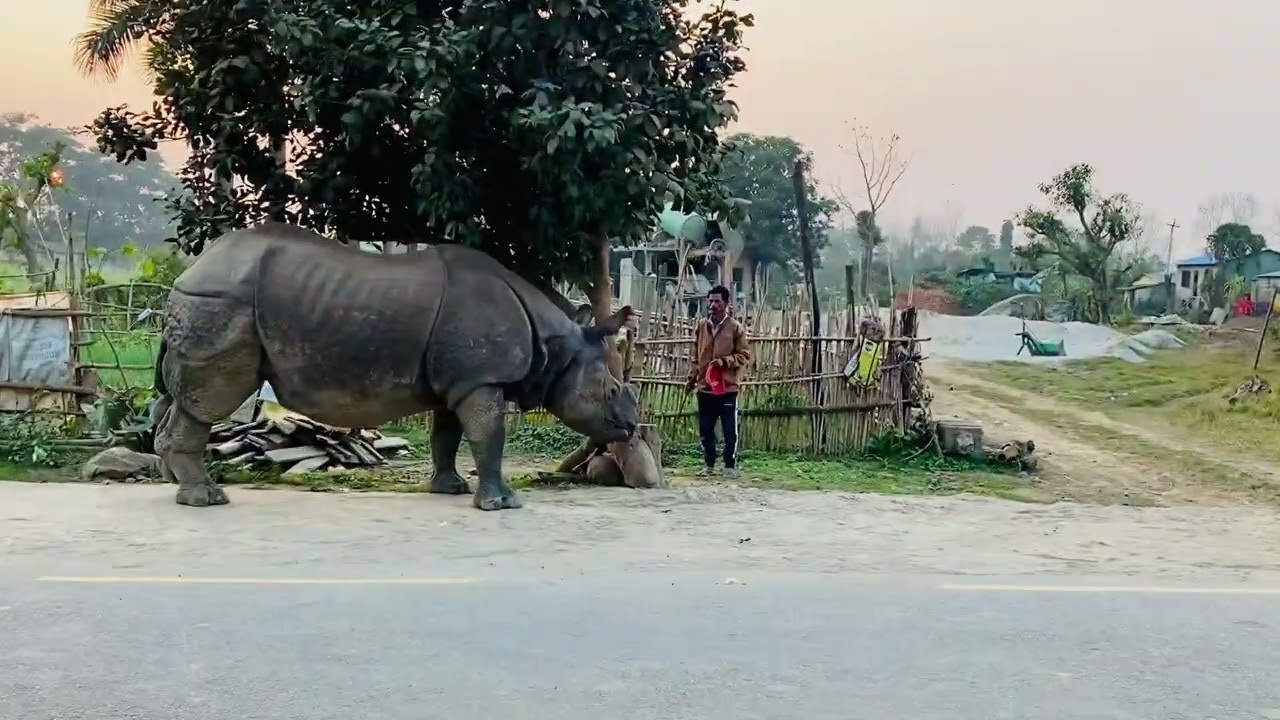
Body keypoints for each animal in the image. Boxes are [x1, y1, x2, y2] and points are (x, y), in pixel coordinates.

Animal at [150, 223, 639, 511]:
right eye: (613, 391)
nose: (632, 427)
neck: (558, 346)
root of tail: (190, 273)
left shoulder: (458, 381)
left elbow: (448, 436)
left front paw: (450, 490)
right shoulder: (480, 379)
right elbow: (490, 435)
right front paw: (503, 504)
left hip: (214, 299)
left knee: (184, 399)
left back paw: (177, 487)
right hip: (221, 301)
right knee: (209, 400)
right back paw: (206, 498)